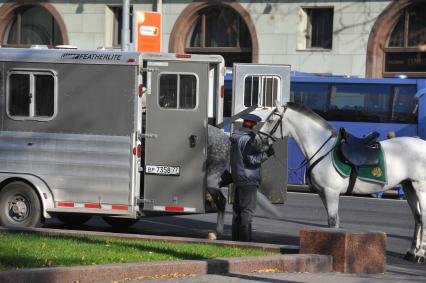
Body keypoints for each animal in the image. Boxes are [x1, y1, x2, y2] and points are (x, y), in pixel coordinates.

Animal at [258, 102, 426, 264]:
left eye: (271, 119)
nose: (258, 140)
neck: (322, 148)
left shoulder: (331, 192)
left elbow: (332, 221)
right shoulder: (323, 193)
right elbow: (333, 222)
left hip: (420, 188)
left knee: (423, 217)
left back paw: (420, 255)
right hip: (409, 186)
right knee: (417, 217)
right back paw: (411, 253)